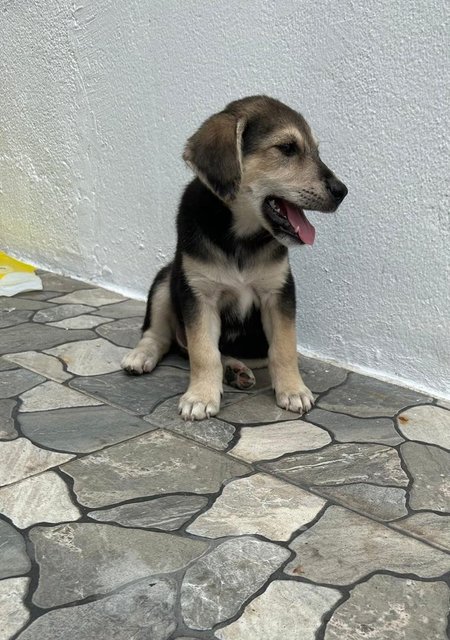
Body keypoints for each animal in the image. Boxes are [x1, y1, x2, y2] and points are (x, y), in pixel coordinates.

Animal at [120, 96, 348, 420]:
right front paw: (201, 396)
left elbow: (284, 348)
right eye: (287, 148)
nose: (342, 191)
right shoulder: (199, 294)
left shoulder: (278, 292)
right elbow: (203, 351)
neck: (240, 236)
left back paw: (235, 371)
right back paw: (142, 356)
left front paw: (293, 389)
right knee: (161, 336)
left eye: (317, 151)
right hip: (166, 279)